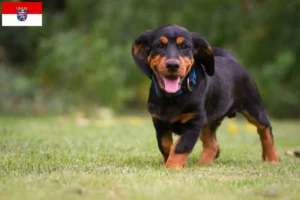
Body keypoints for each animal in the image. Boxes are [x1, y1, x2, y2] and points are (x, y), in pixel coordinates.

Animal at [131, 24, 278, 170]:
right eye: (159, 45)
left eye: (184, 46)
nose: (172, 65)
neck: (173, 97)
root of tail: (233, 60)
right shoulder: (160, 122)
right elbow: (165, 145)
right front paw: (173, 161)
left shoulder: (194, 123)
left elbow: (180, 146)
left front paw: (172, 167)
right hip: (209, 122)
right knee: (213, 145)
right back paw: (203, 164)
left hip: (254, 107)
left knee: (265, 129)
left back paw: (272, 158)